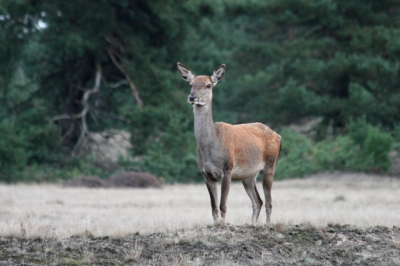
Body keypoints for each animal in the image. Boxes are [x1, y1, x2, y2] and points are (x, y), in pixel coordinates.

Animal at [178, 62, 282, 224]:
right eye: (190, 84)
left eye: (208, 85)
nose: (192, 97)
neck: (210, 148)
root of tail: (278, 135)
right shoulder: (206, 174)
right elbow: (213, 208)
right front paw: (216, 224)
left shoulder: (227, 169)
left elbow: (222, 205)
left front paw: (224, 224)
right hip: (248, 175)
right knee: (257, 201)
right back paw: (253, 224)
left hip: (270, 165)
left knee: (269, 201)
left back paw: (267, 224)